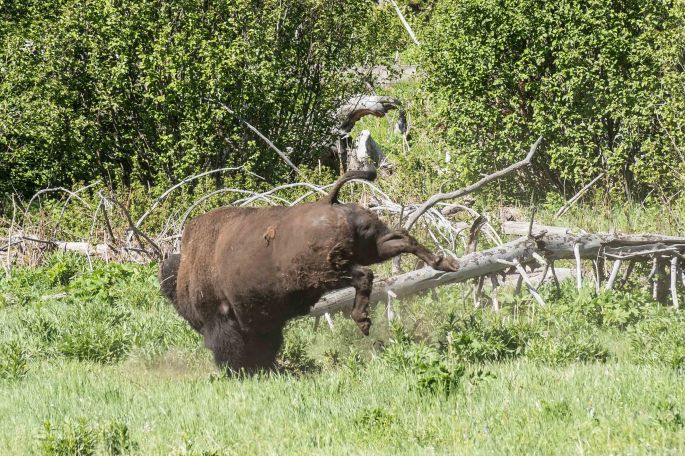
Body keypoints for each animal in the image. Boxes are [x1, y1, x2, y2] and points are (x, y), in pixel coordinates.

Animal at [159, 169, 459, 372]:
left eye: (176, 300)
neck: (189, 269)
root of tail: (329, 202)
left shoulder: (222, 319)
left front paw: (240, 370)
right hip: (372, 247)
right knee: (404, 239)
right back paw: (445, 263)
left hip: (325, 273)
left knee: (364, 276)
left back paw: (362, 320)